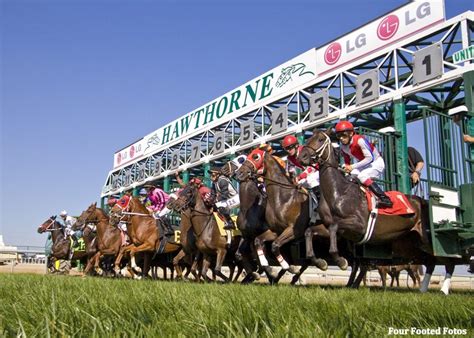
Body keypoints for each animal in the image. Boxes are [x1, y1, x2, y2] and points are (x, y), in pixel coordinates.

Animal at [235, 146, 332, 274]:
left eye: (256, 156)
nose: (240, 172)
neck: (283, 198)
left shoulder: (293, 230)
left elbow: (275, 245)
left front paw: (287, 267)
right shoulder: (274, 231)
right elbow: (258, 242)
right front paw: (267, 267)